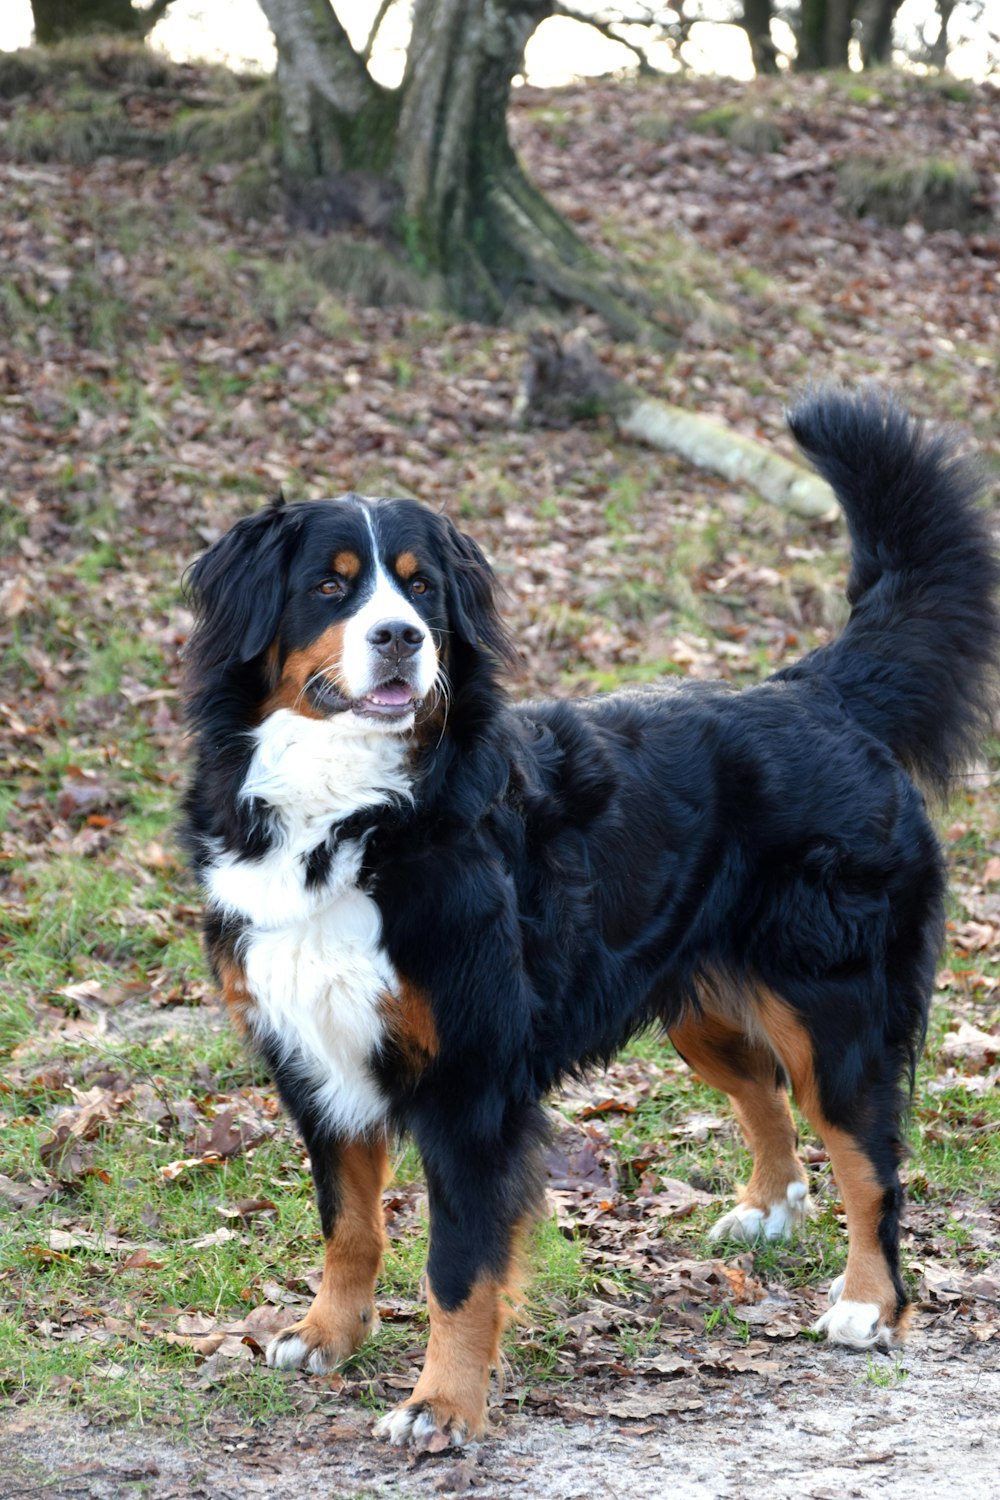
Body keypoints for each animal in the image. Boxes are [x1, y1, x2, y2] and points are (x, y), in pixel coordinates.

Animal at [183, 393, 995, 1446]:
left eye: (422, 591)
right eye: (331, 585)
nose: (402, 637)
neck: (356, 811)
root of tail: (812, 689)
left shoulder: (471, 1083)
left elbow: (457, 1266)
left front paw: (441, 1405)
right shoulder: (313, 1057)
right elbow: (349, 1225)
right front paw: (328, 1334)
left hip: (835, 1008)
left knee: (870, 1157)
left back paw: (869, 1303)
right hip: (698, 1004)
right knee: (765, 1093)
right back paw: (770, 1212)